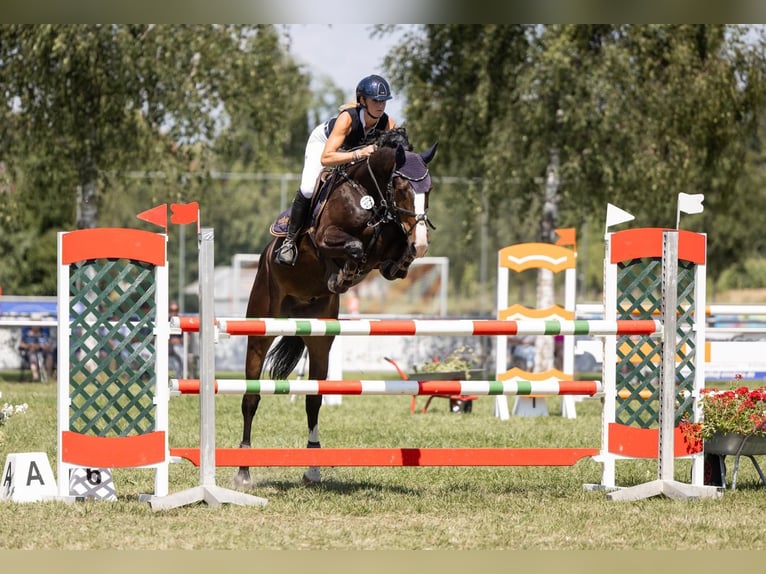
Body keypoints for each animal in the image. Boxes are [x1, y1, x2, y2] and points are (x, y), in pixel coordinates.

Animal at [236, 131, 438, 487]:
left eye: (428, 190)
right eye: (401, 187)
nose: (423, 241)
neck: (370, 195)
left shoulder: (389, 240)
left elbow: (392, 253)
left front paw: (398, 260)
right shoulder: (325, 236)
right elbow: (354, 247)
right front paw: (343, 273)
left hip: (320, 339)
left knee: (313, 399)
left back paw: (313, 468)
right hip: (260, 328)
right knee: (251, 397)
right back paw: (244, 472)